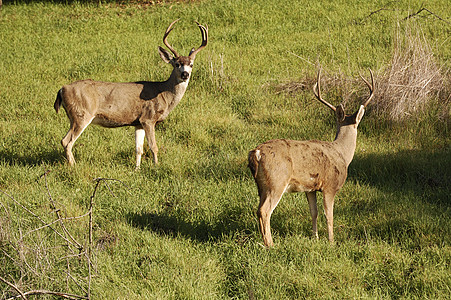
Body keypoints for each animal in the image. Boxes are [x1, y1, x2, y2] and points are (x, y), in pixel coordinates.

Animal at [54, 19, 208, 169]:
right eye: (176, 64)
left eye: (191, 64)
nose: (185, 74)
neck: (163, 93)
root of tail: (62, 89)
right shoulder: (148, 118)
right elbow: (153, 146)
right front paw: (156, 167)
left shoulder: (138, 123)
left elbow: (139, 148)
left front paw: (137, 169)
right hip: (81, 114)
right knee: (66, 141)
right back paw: (74, 166)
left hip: (74, 116)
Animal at [247, 69, 374, 247]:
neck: (342, 153)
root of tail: (256, 153)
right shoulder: (330, 185)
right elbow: (329, 215)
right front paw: (331, 241)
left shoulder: (310, 188)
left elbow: (314, 212)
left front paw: (315, 237)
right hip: (276, 180)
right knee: (264, 211)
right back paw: (270, 245)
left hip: (261, 185)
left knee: (258, 209)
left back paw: (264, 241)